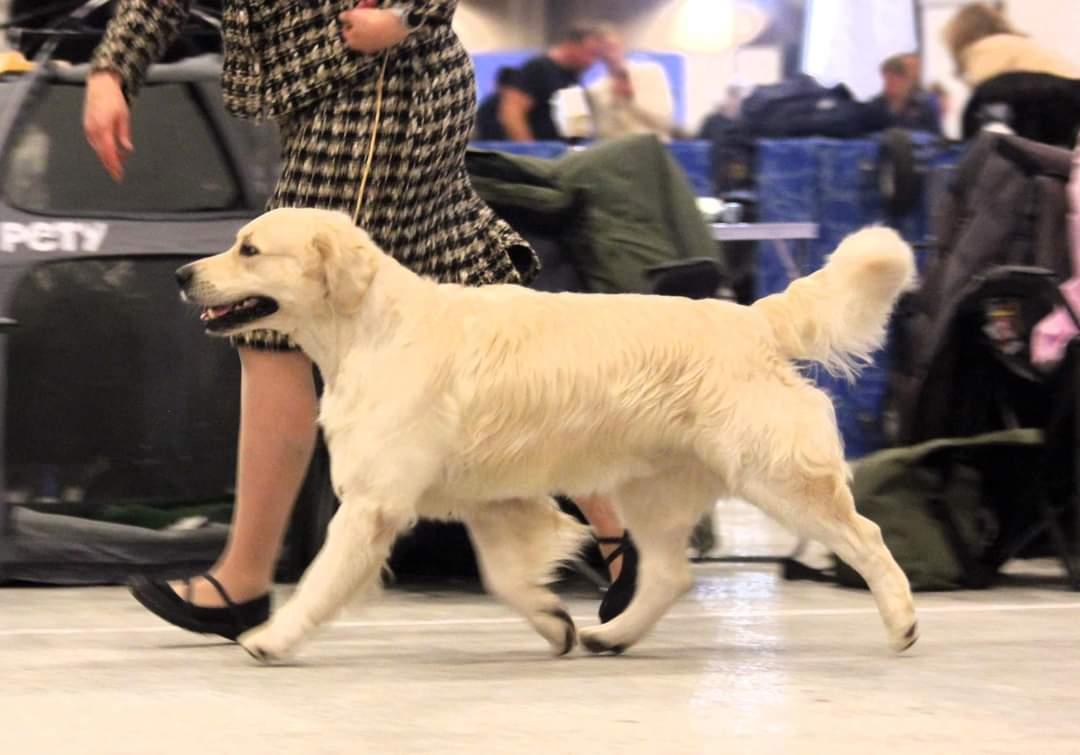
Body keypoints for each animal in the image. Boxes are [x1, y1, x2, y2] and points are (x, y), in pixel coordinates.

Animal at [177, 206, 920, 661]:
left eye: (249, 249)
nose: (184, 274)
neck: (367, 329)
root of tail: (752, 317)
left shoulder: (373, 503)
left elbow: (322, 580)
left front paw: (272, 637)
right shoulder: (490, 499)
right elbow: (505, 576)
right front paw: (553, 618)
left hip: (774, 474)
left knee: (867, 536)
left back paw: (903, 621)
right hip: (650, 490)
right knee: (669, 575)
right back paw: (611, 635)